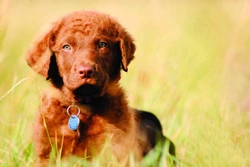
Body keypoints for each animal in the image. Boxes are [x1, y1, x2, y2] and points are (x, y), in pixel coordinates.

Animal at [25, 10, 174, 166]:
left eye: (102, 44)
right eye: (66, 47)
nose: (86, 71)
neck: (82, 106)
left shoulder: (114, 149)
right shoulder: (46, 152)